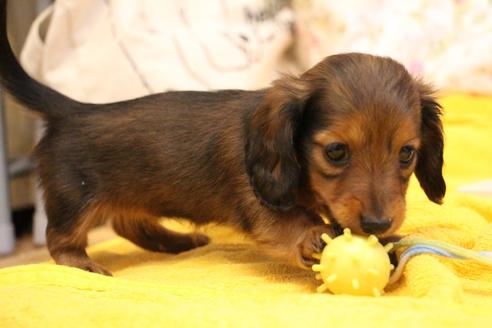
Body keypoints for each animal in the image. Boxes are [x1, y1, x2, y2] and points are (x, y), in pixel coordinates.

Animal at [0, 1, 444, 276]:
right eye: (336, 151)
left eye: (407, 153)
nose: (378, 222)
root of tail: (74, 109)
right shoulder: (258, 200)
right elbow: (292, 220)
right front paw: (312, 235)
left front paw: (388, 239)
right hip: (74, 199)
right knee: (59, 240)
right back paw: (84, 265)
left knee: (129, 224)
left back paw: (178, 242)